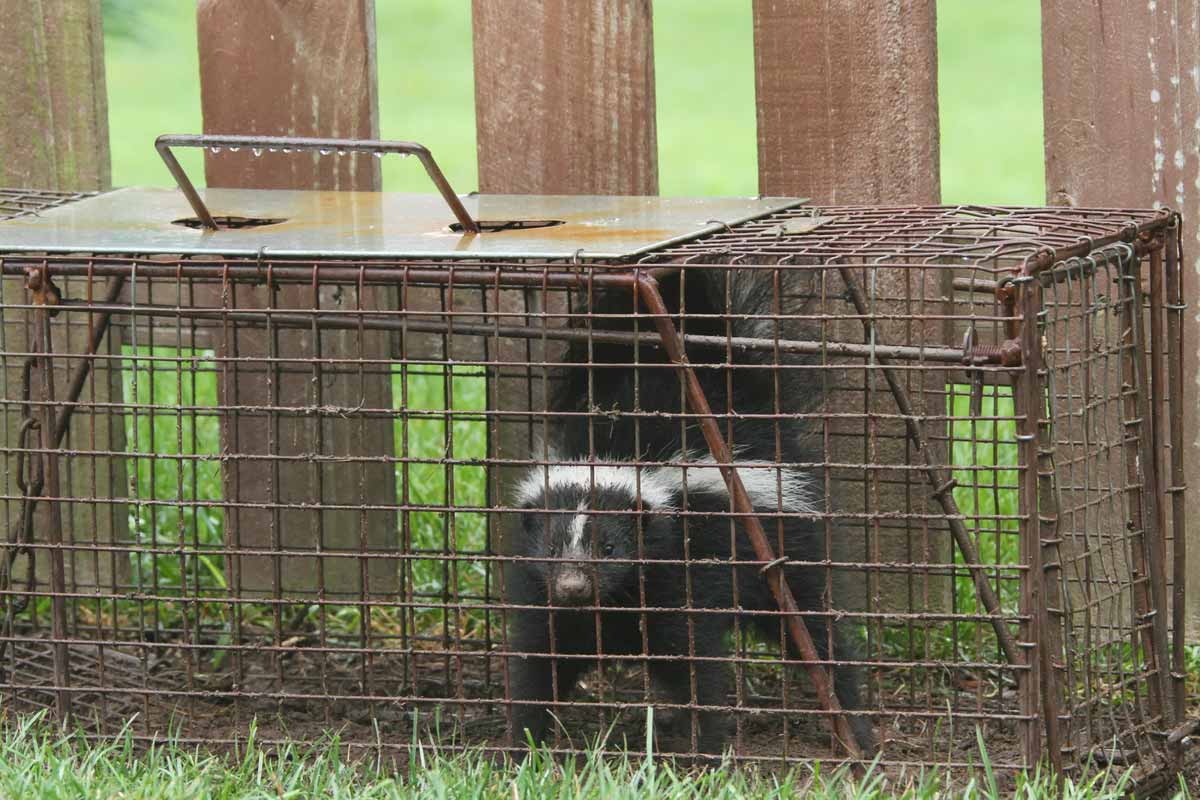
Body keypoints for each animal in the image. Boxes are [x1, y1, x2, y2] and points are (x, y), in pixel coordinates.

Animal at [506, 267, 873, 758]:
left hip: (782, 541)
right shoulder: (541, 594)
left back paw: (855, 725)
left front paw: (709, 744)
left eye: (611, 547)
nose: (573, 586)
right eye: (550, 548)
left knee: (814, 627)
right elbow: (540, 657)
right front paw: (523, 744)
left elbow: (694, 659)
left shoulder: (682, 572)